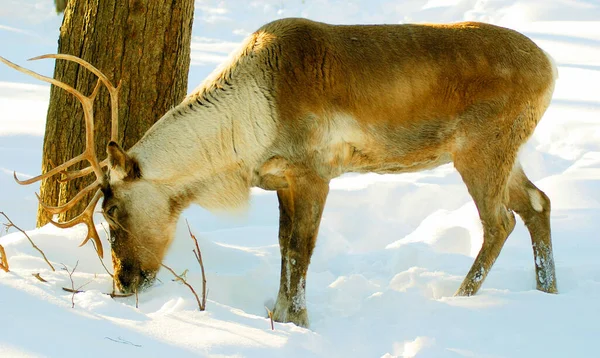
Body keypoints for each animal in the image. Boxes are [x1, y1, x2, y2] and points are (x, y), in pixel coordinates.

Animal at [0, 18, 556, 328]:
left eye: (112, 210)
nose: (124, 280)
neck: (247, 131)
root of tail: (551, 67)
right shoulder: (280, 180)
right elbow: (284, 247)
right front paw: (279, 314)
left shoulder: (314, 172)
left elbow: (301, 251)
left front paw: (300, 321)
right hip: (505, 151)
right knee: (538, 202)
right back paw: (547, 292)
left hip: (481, 148)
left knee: (500, 221)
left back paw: (461, 299)